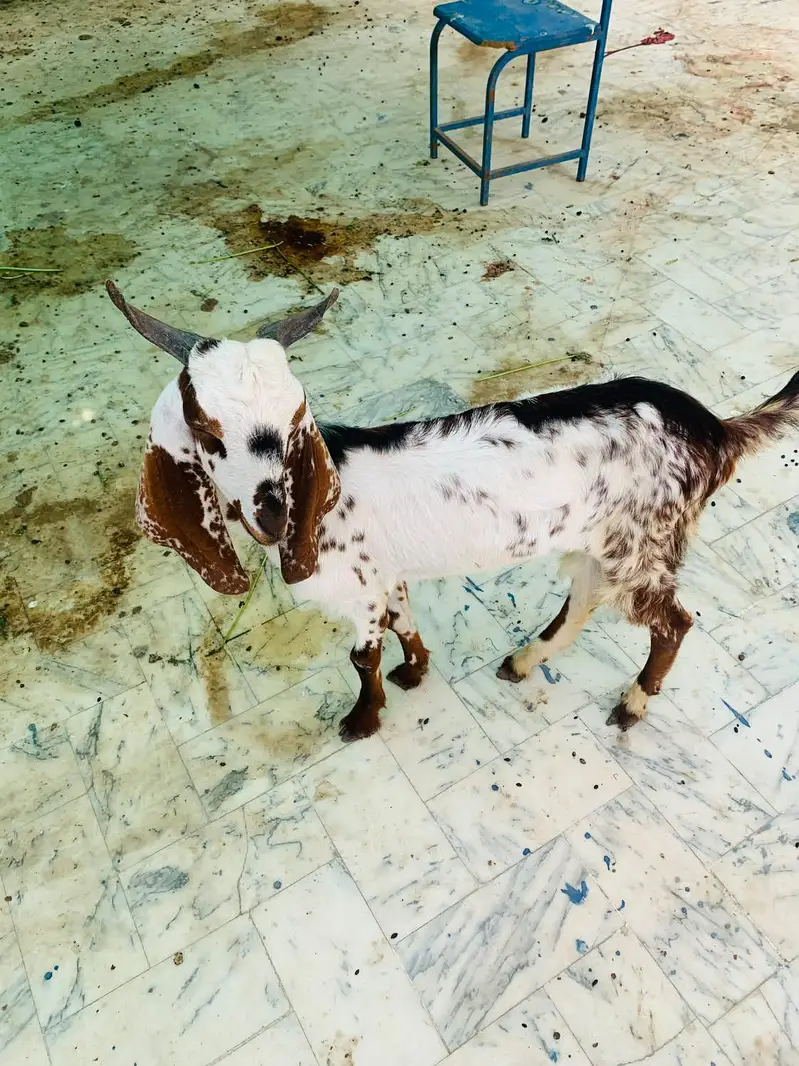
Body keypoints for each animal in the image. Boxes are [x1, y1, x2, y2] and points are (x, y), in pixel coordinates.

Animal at [107, 281, 799, 741]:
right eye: (205, 428)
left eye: (295, 418)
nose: (274, 513)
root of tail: (716, 431)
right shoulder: (385, 575)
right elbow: (404, 620)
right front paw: (415, 672)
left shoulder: (359, 588)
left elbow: (362, 656)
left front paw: (364, 718)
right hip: (600, 540)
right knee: (583, 599)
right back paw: (524, 661)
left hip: (645, 543)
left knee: (673, 621)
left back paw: (631, 704)